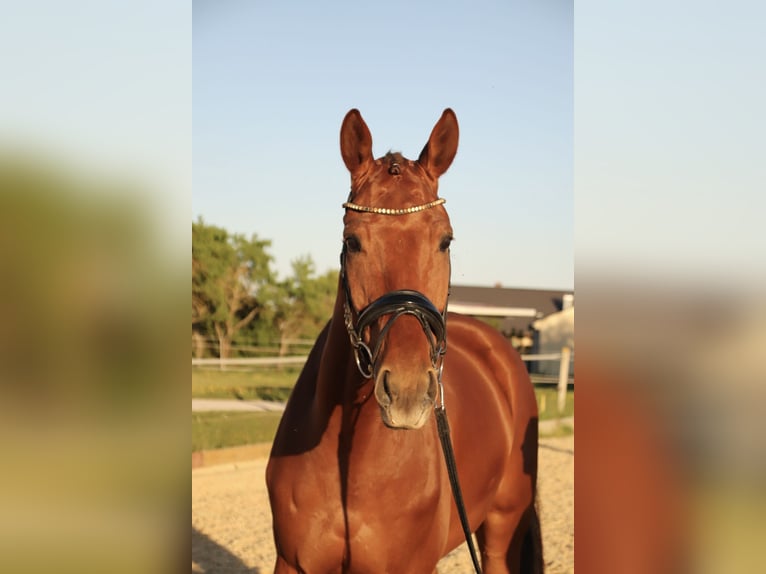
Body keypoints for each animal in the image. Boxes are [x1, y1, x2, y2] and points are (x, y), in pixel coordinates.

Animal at [268, 109, 544, 574]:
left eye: (445, 240)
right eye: (352, 241)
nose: (407, 391)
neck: (349, 463)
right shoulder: (292, 563)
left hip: (501, 530)